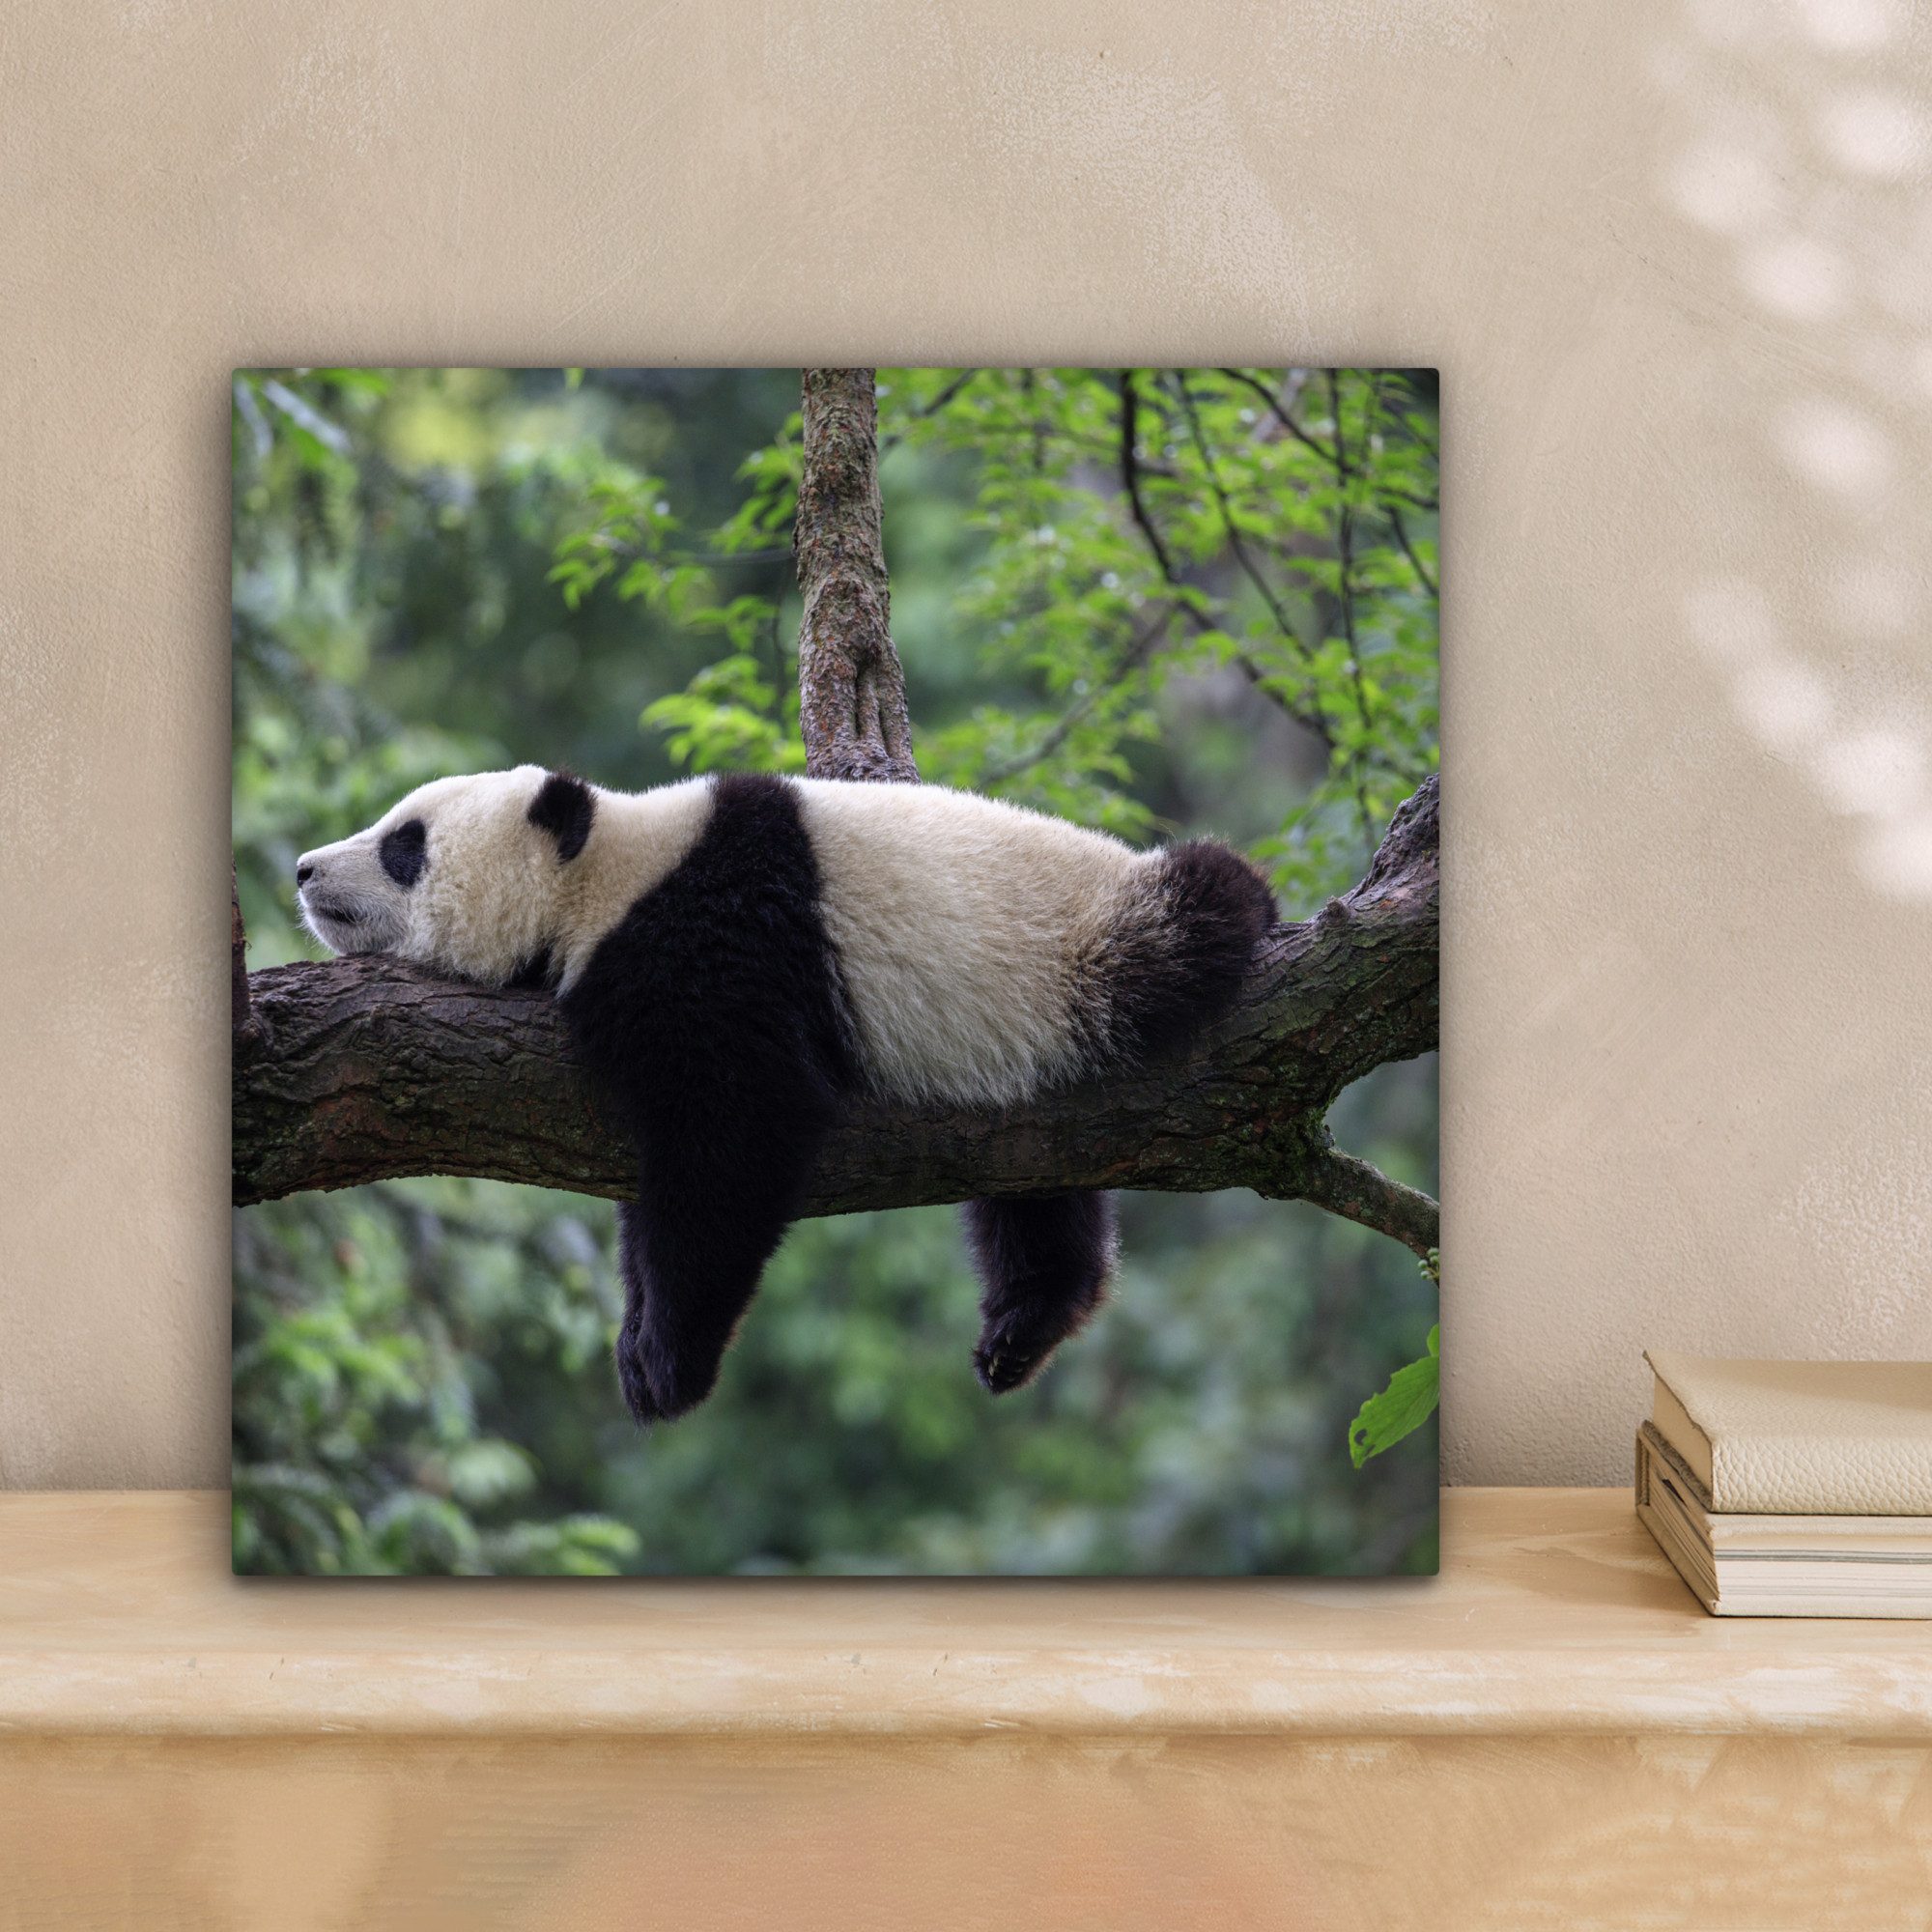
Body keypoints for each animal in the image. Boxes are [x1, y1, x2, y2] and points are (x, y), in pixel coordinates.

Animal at [295, 766, 1275, 1425]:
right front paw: (638, 1337)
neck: (607, 871)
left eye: (405, 844)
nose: (304, 869)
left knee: (1197, 912)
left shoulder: (715, 944)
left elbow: (736, 1135)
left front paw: (667, 1363)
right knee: (1035, 1187)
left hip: (1087, 949)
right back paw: (1025, 1324)